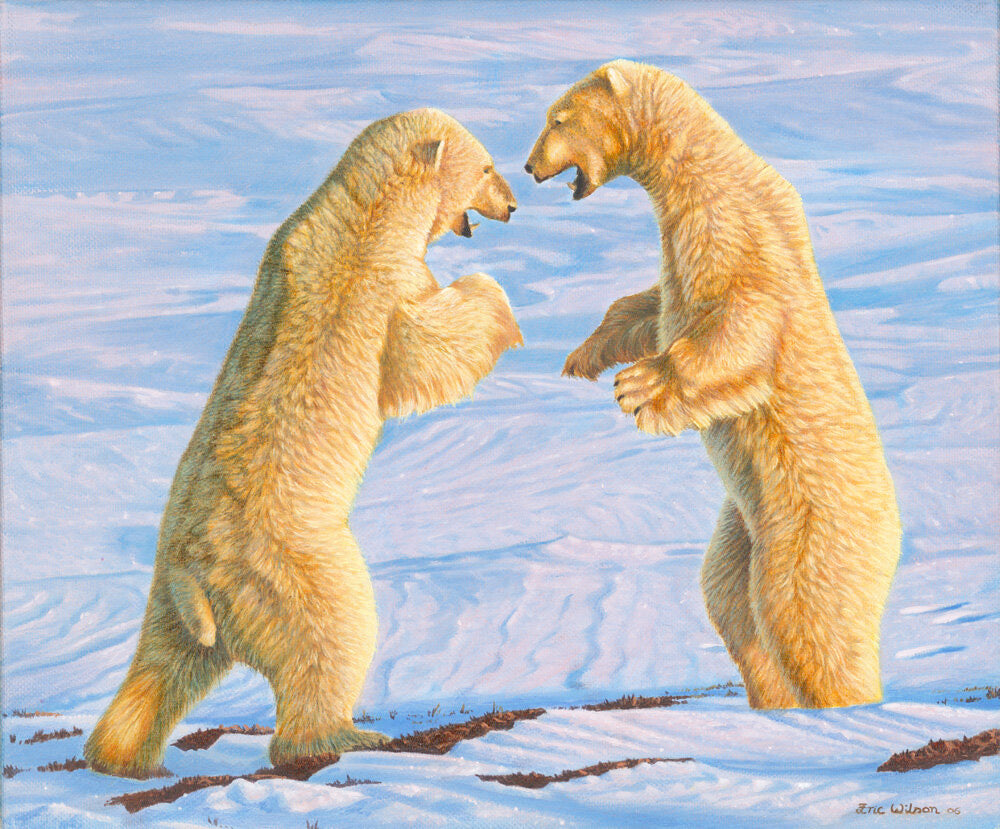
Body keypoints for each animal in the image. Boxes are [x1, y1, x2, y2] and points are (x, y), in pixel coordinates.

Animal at [84, 108, 522, 778]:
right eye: (487, 167)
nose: (514, 204)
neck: (367, 212)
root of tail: (193, 575)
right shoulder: (382, 287)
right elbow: (425, 348)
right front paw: (498, 302)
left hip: (168, 601)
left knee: (162, 667)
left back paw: (120, 756)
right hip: (290, 568)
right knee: (334, 633)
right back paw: (344, 736)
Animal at [525, 60, 901, 709]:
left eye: (558, 118)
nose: (528, 167)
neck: (703, 171)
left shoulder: (730, 229)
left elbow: (741, 322)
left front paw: (637, 389)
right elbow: (650, 309)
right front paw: (584, 355)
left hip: (811, 527)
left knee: (804, 615)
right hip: (743, 525)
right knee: (730, 600)